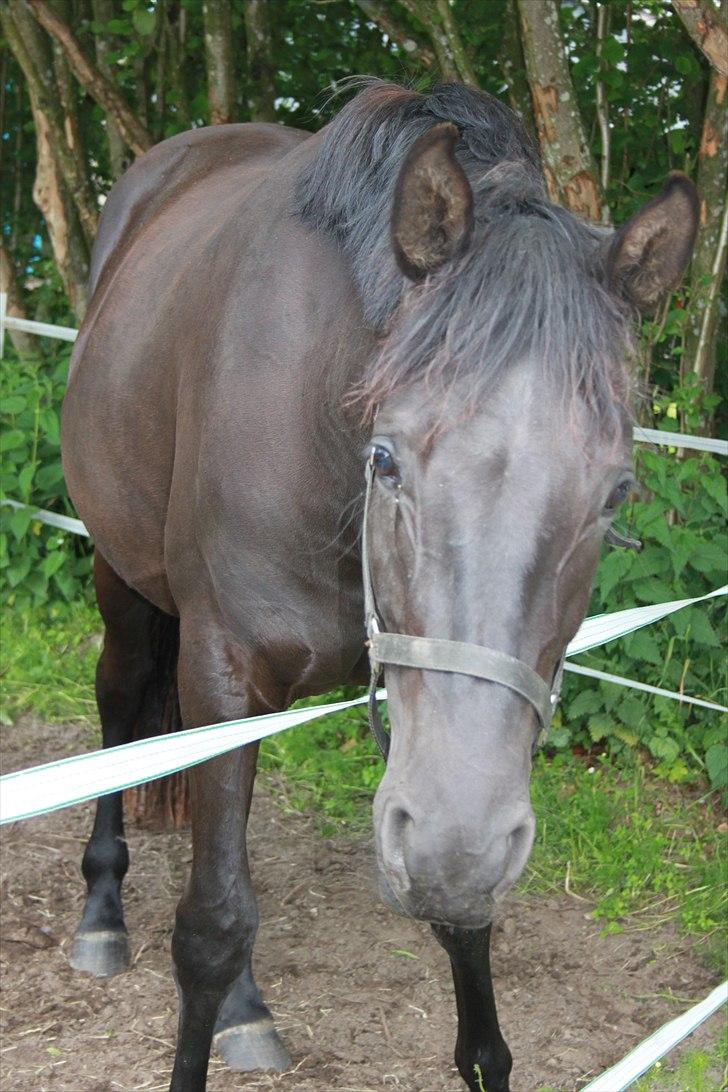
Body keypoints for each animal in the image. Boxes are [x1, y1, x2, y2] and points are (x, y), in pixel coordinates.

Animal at [59, 79, 698, 1092]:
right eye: (388, 459)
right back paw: (102, 914)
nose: (459, 849)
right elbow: (211, 926)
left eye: (615, 494)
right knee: (120, 708)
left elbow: (464, 943)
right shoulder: (222, 667)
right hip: (121, 577)